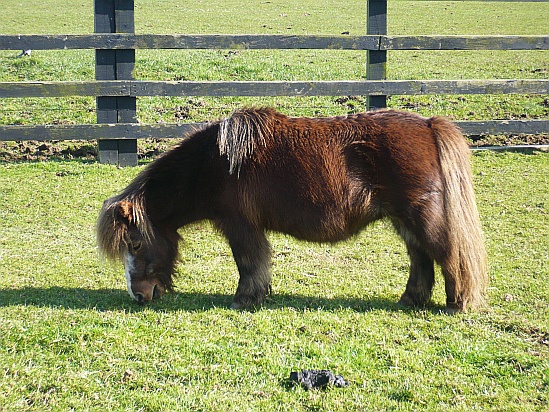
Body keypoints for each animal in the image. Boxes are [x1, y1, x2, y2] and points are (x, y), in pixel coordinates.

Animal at [96, 108, 486, 312]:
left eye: (134, 243)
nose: (139, 295)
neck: (214, 164)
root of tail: (429, 125)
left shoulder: (240, 227)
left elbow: (248, 263)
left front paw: (245, 299)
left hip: (422, 217)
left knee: (450, 256)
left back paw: (457, 303)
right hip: (404, 221)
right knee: (421, 259)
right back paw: (411, 300)